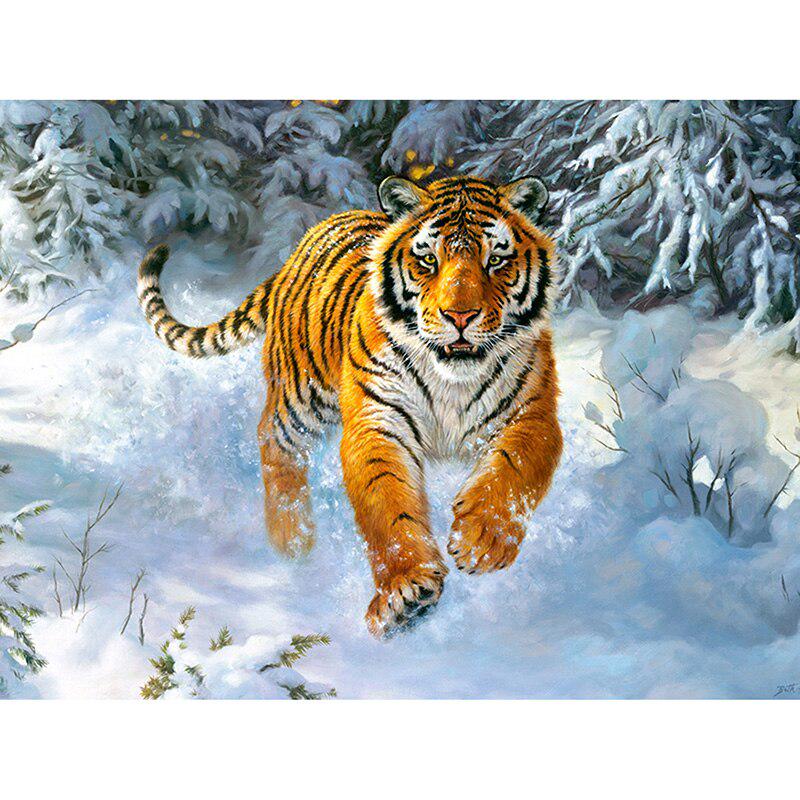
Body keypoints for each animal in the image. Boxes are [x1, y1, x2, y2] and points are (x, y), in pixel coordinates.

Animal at [138, 175, 563, 637]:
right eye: (428, 259)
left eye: (496, 260)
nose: (460, 317)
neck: (452, 377)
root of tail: (298, 250)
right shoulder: (377, 420)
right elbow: (387, 504)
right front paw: (405, 592)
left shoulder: (532, 413)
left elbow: (512, 473)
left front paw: (481, 541)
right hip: (300, 396)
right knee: (274, 442)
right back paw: (292, 541)